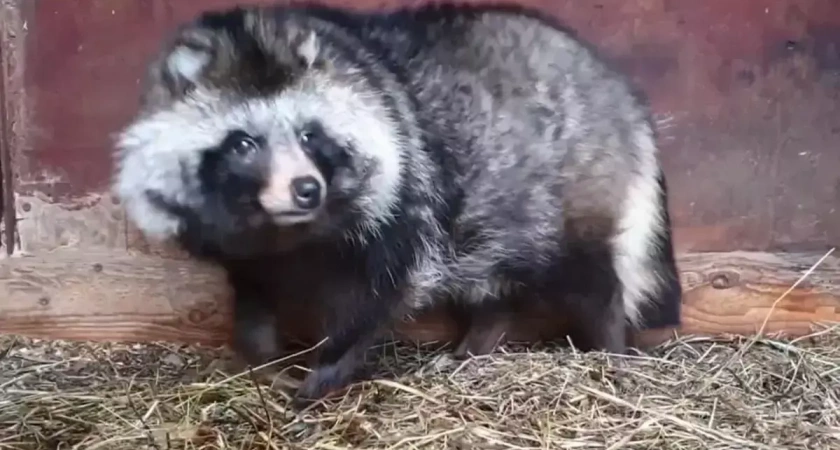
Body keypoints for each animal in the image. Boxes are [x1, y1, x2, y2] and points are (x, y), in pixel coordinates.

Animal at [110, 0, 684, 404]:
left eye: (310, 135)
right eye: (244, 143)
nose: (306, 188)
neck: (284, 231)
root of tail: (615, 85)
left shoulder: (406, 203)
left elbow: (381, 294)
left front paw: (327, 367)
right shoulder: (245, 251)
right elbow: (252, 299)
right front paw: (260, 361)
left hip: (575, 185)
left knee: (591, 277)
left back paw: (609, 345)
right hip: (495, 215)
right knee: (493, 276)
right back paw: (480, 338)